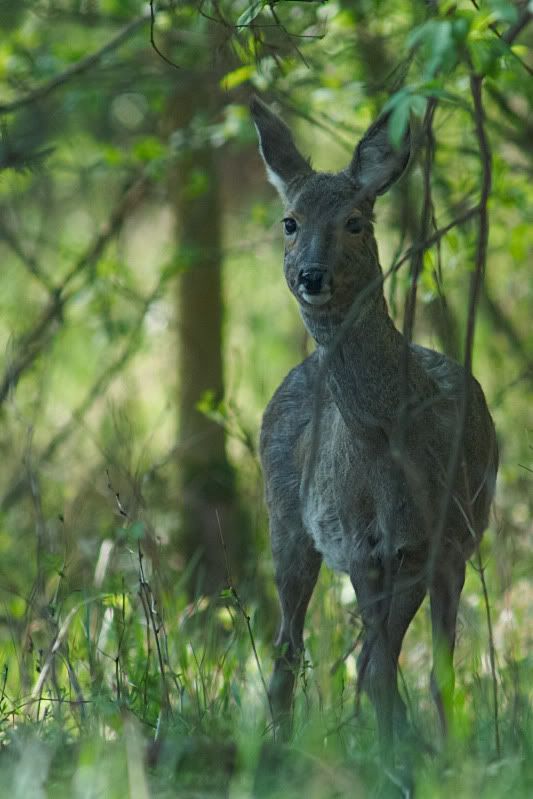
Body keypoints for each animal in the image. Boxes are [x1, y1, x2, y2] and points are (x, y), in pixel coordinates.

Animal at [250, 97, 498, 760]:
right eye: (290, 221)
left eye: (356, 222)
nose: (311, 275)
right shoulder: (361, 542)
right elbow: (381, 665)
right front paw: (400, 757)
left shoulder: (435, 541)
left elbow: (419, 667)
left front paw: (434, 754)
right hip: (287, 521)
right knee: (289, 647)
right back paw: (282, 744)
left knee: (382, 655)